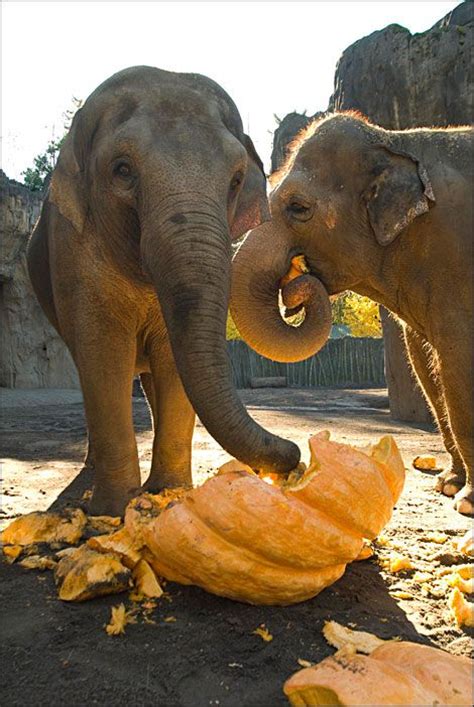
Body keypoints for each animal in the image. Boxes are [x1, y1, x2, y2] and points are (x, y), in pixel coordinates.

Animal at [25, 65, 302, 516]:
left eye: (236, 180)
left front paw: (168, 495)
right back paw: (87, 481)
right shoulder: (73, 250)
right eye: (122, 169)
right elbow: (103, 353)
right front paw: (111, 511)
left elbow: (174, 358)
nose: (295, 454)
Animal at [231, 112, 472, 520]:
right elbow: (428, 364)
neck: (395, 142)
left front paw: (467, 501)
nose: (295, 283)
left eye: (298, 207)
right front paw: (449, 485)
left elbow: (458, 363)